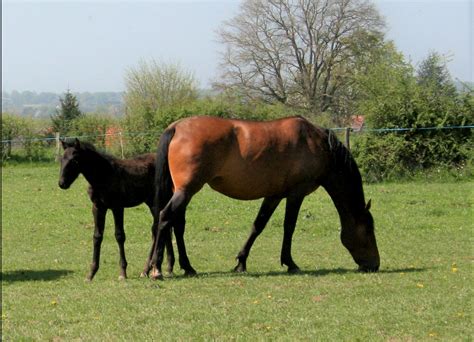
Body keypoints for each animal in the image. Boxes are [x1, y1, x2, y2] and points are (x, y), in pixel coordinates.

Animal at [58, 139, 175, 280]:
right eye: (61, 159)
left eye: (75, 160)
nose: (62, 183)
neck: (103, 175)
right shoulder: (98, 207)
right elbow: (97, 236)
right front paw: (91, 273)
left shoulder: (117, 207)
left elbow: (119, 236)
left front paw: (122, 272)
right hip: (152, 202)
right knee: (162, 227)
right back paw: (157, 269)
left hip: (157, 201)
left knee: (160, 228)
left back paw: (155, 268)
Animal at [149, 116, 382, 280]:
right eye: (368, 231)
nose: (374, 265)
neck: (317, 145)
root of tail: (176, 127)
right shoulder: (296, 194)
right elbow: (289, 227)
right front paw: (290, 263)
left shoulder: (274, 195)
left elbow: (258, 226)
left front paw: (241, 262)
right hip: (186, 190)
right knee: (165, 217)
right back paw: (156, 269)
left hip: (182, 191)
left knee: (176, 225)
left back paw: (186, 267)